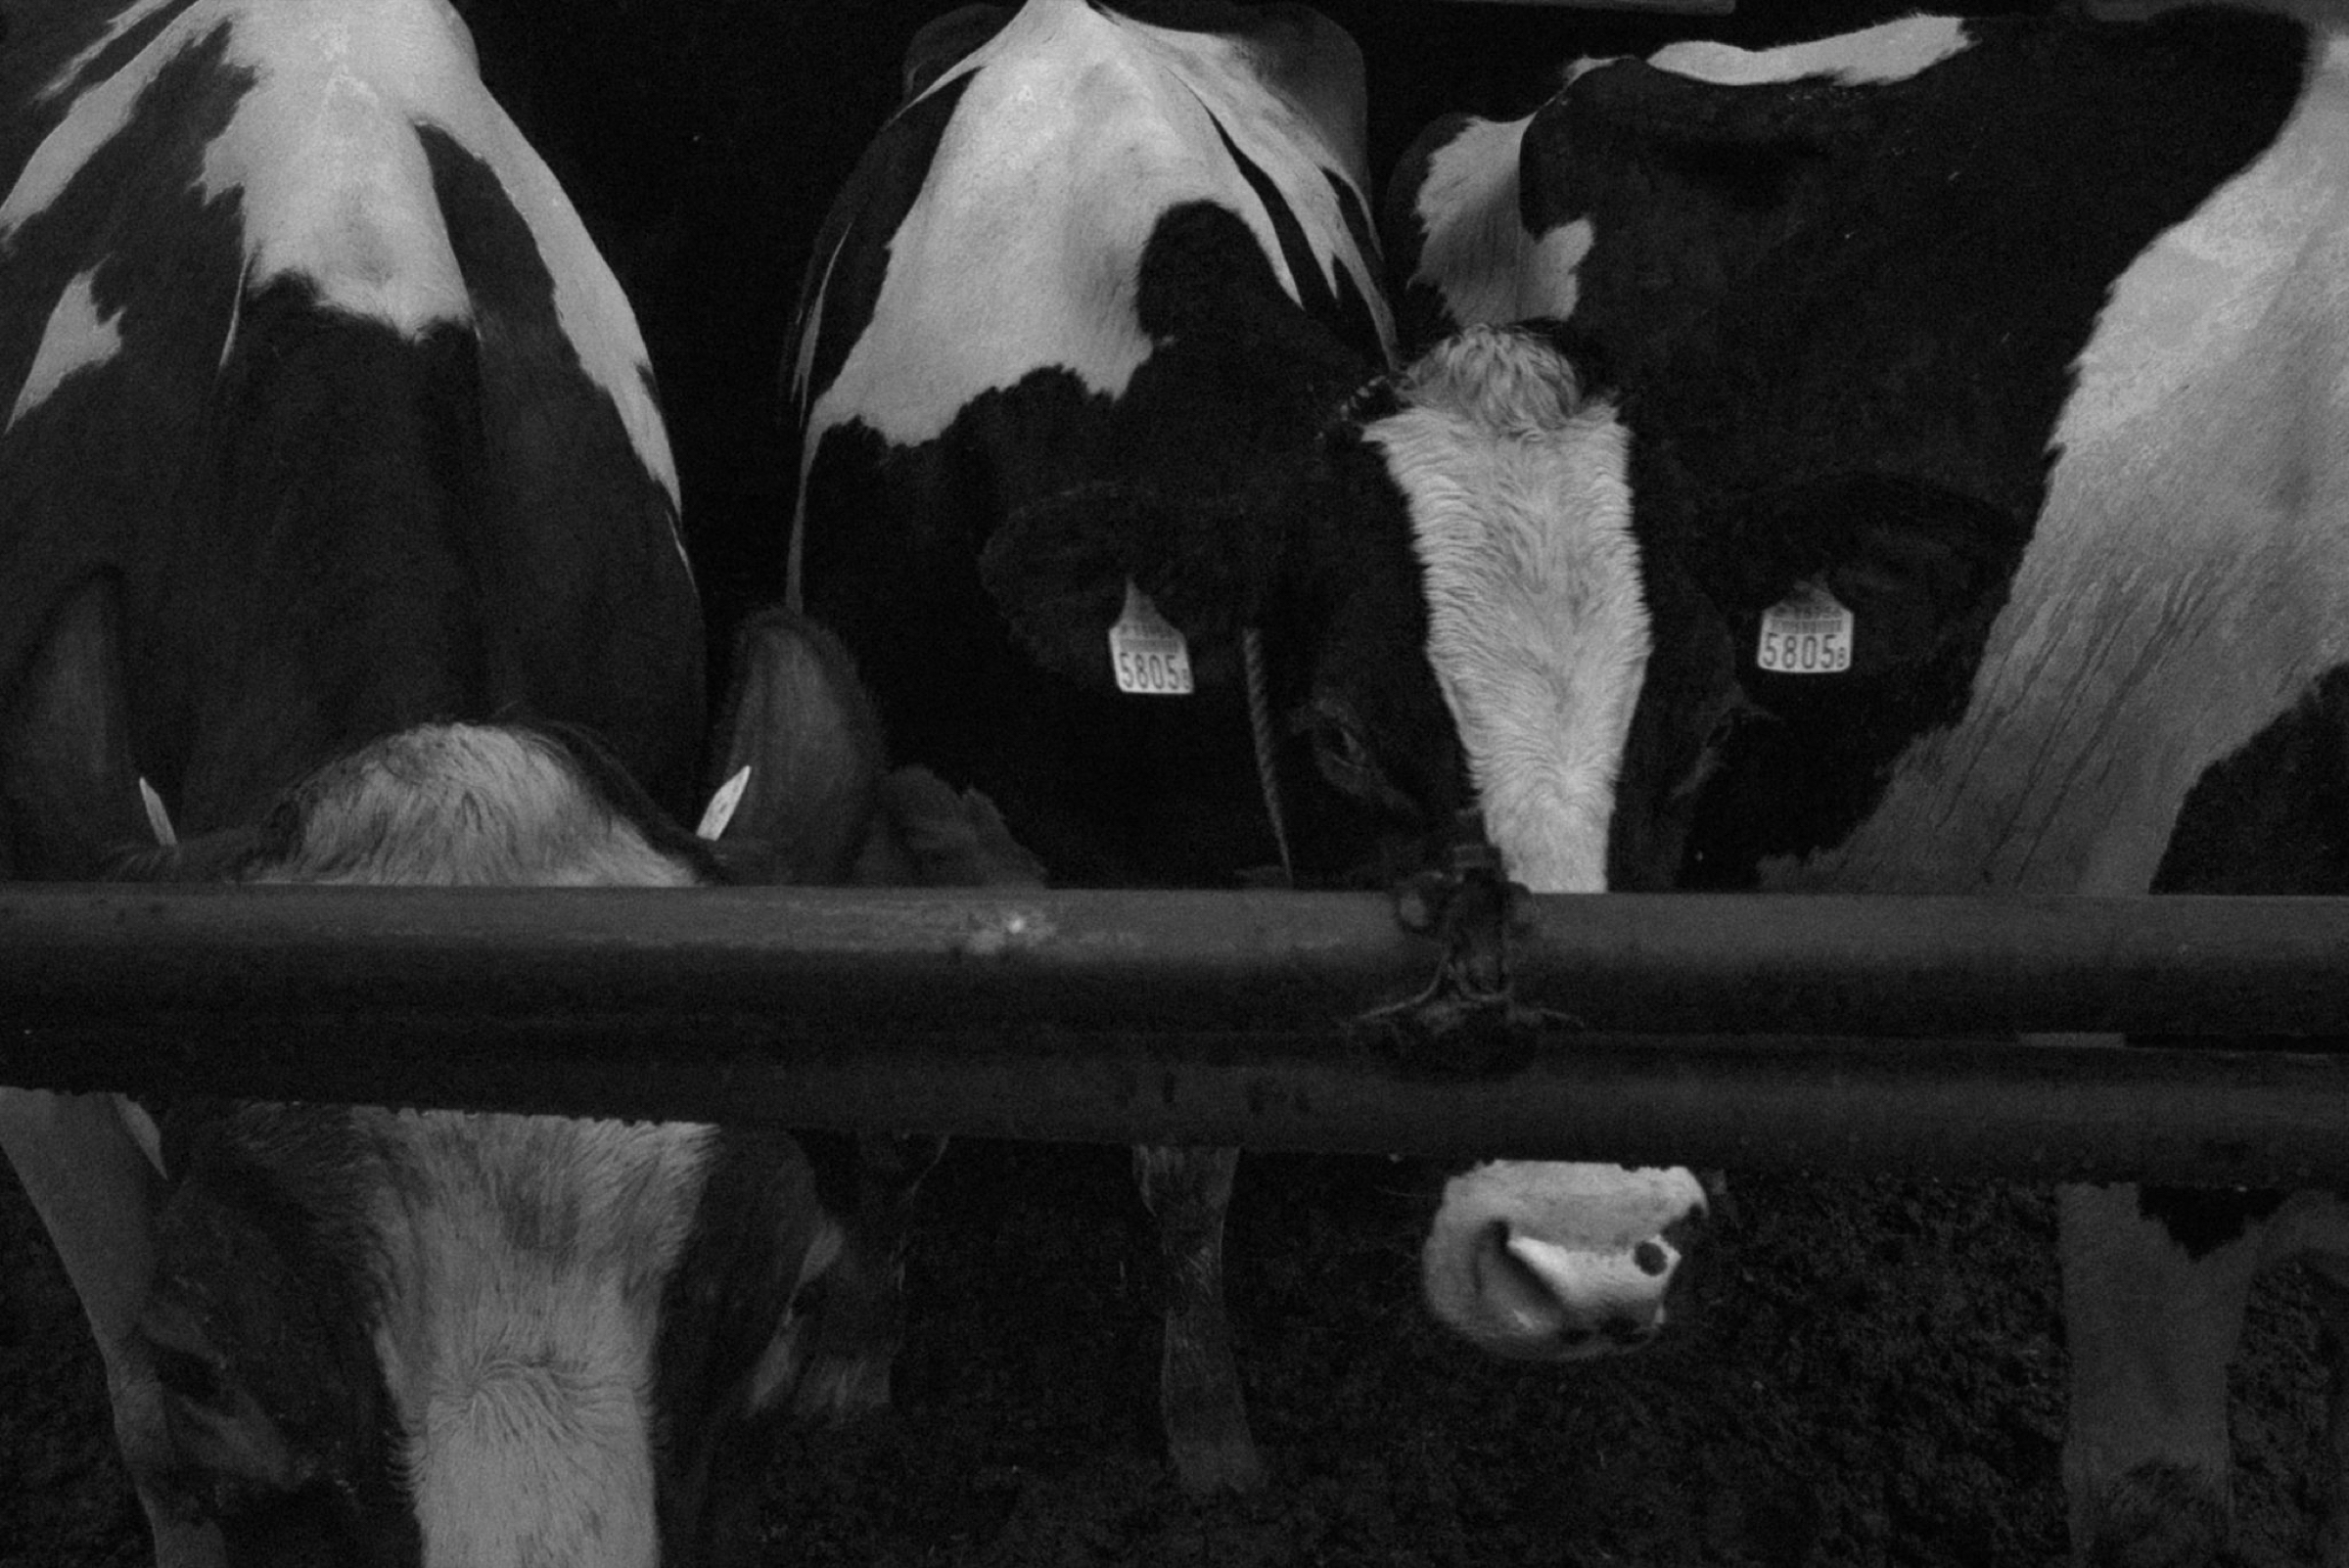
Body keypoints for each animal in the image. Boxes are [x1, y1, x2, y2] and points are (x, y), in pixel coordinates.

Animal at [787, 0, 1710, 1494]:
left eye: (1701, 737)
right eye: (1340, 739)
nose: (1579, 1255)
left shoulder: (1236, 872)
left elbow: (1192, 1169)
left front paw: (1206, 1407)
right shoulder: (890, 812)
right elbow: (896, 1116)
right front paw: (853, 1351)